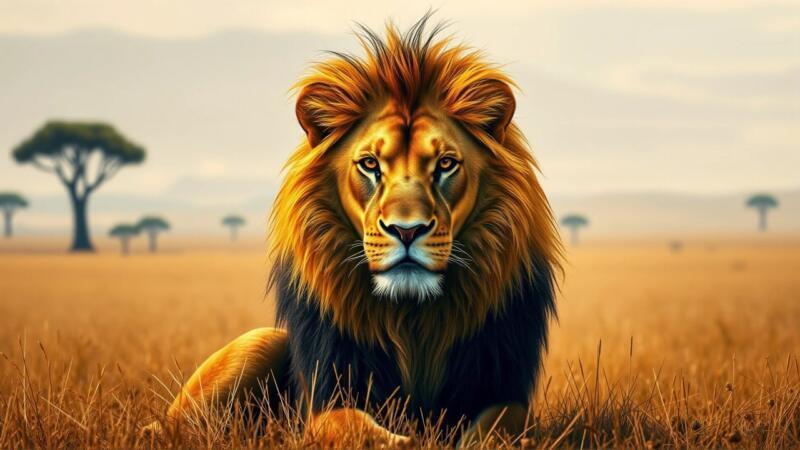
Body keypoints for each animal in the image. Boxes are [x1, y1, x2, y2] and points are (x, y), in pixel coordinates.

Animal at [148, 16, 561, 447]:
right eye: (369, 164)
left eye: (446, 164)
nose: (407, 230)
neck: (413, 318)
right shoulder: (327, 394)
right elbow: (354, 426)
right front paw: (409, 439)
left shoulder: (501, 386)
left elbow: (498, 427)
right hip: (259, 341)